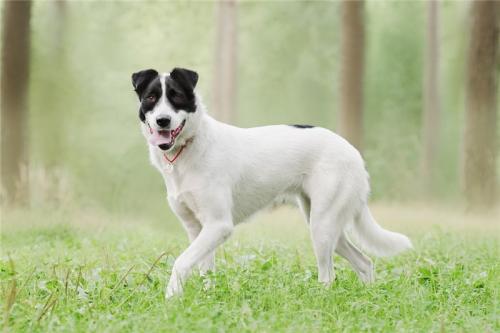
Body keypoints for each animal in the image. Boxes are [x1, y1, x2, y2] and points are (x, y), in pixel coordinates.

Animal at [131, 66, 412, 296]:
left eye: (176, 96)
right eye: (151, 98)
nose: (163, 120)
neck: (190, 146)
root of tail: (353, 152)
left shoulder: (219, 225)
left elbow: (181, 261)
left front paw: (171, 296)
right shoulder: (197, 228)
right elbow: (204, 269)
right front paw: (206, 297)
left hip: (322, 225)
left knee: (328, 275)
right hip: (325, 223)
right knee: (364, 262)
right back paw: (370, 296)